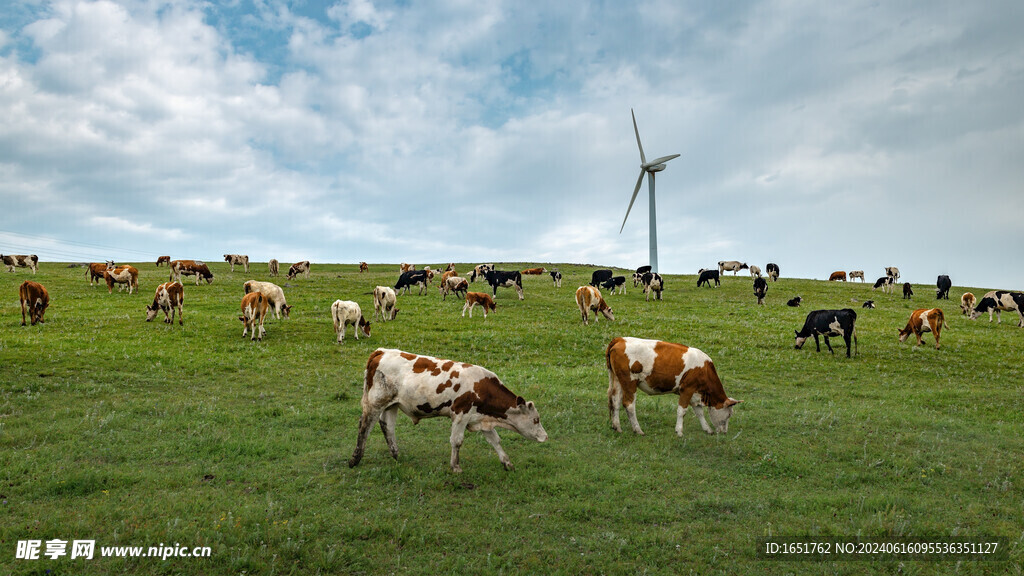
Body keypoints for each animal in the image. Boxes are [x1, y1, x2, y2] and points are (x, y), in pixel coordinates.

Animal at [348, 344, 548, 471]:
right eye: (536, 419)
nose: (545, 437)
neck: (481, 387)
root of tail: (381, 352)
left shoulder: (480, 419)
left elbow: (495, 441)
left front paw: (507, 463)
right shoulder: (460, 414)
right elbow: (456, 441)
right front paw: (456, 466)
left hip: (392, 405)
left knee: (387, 427)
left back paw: (396, 454)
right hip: (375, 402)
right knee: (364, 427)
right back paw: (355, 459)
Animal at [602, 336, 741, 434]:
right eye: (729, 414)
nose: (724, 432)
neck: (704, 369)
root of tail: (620, 339)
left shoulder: (695, 393)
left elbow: (699, 412)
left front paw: (707, 429)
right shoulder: (687, 389)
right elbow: (682, 411)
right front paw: (679, 431)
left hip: (618, 380)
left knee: (615, 401)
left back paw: (617, 427)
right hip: (629, 381)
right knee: (629, 404)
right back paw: (638, 429)